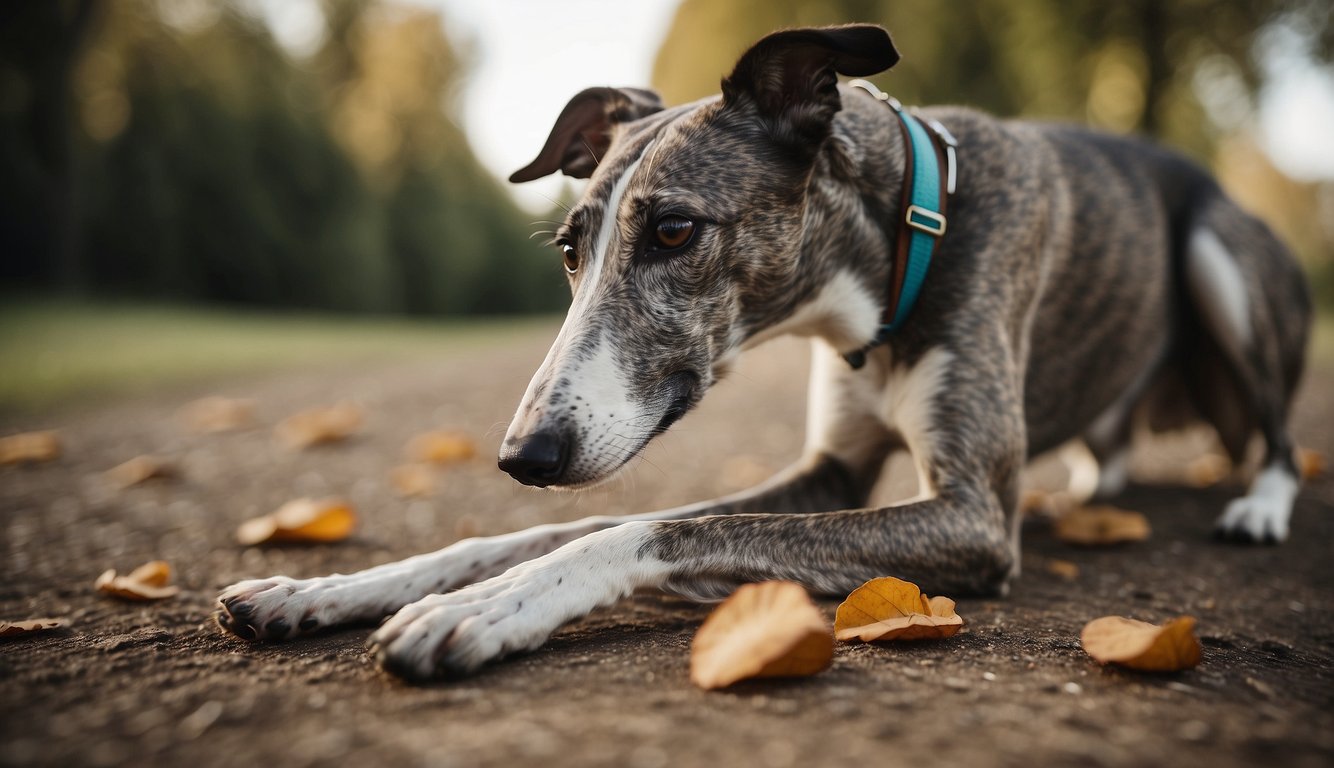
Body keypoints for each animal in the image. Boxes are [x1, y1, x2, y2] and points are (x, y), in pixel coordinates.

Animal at [218, 24, 1312, 677]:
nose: (522, 456)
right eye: (570, 249)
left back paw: (1257, 506)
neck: (906, 240)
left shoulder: (968, 520)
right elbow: (555, 527)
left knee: (1277, 434)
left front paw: (488, 609)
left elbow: (640, 532)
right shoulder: (830, 469)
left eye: (673, 231)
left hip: (1219, 258)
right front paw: (322, 590)